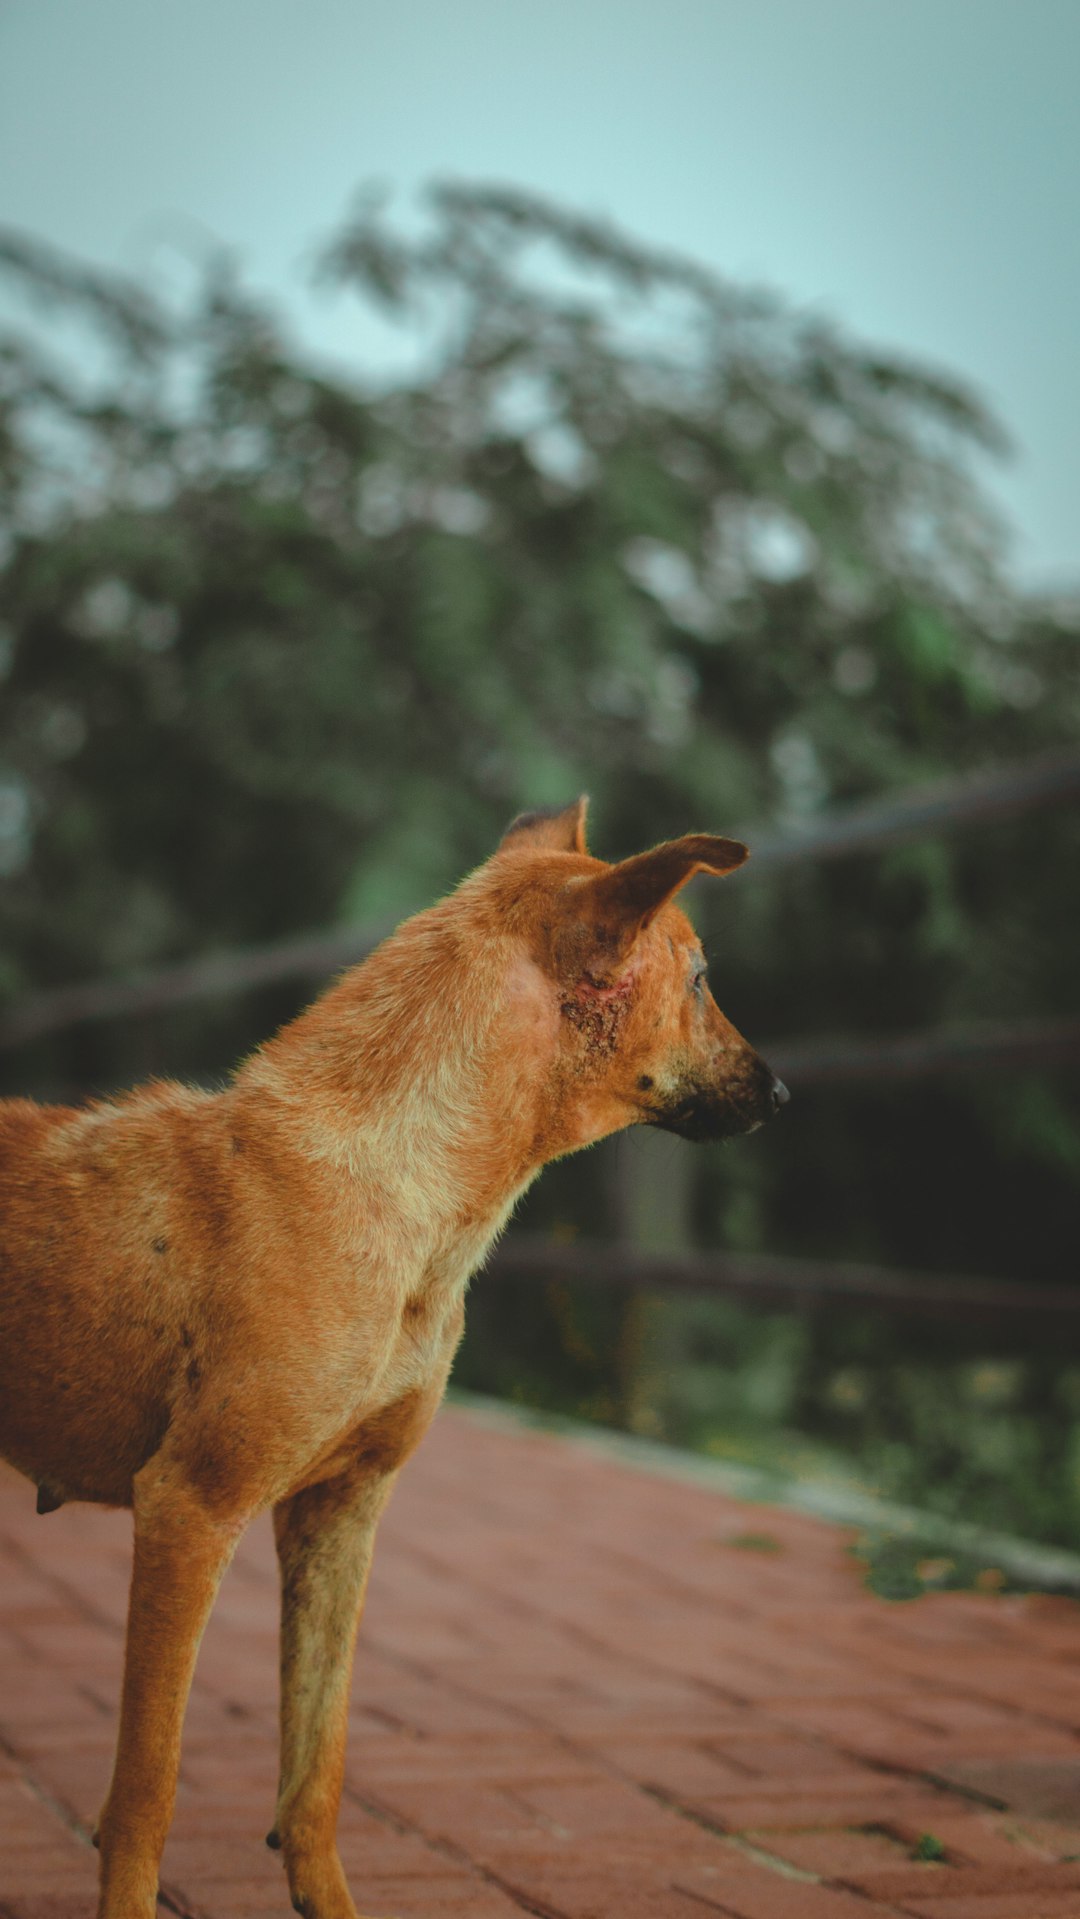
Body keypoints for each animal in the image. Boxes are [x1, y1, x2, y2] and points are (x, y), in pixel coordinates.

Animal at [0, 798, 786, 1919]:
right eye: (702, 978)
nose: (784, 1089)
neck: (392, 1182)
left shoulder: (342, 1512)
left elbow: (315, 1768)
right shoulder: (189, 1509)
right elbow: (147, 1785)